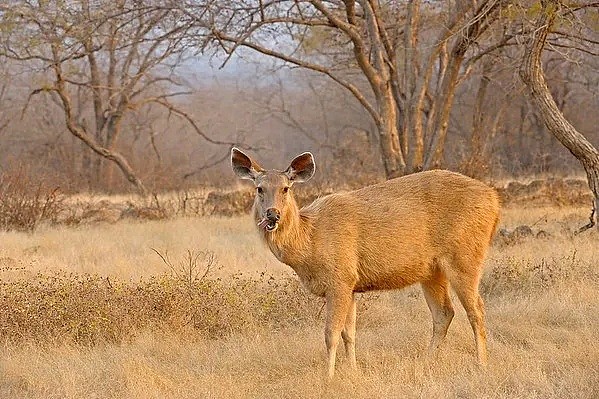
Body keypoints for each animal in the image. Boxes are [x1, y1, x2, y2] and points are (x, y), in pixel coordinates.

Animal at [231, 148, 502, 380]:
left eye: (286, 188)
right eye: (259, 189)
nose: (272, 214)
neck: (310, 241)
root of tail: (495, 201)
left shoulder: (339, 278)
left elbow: (331, 333)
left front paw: (328, 377)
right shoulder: (352, 284)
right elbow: (349, 333)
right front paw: (353, 371)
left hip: (465, 255)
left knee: (476, 309)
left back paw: (482, 364)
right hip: (432, 271)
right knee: (444, 313)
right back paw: (426, 362)